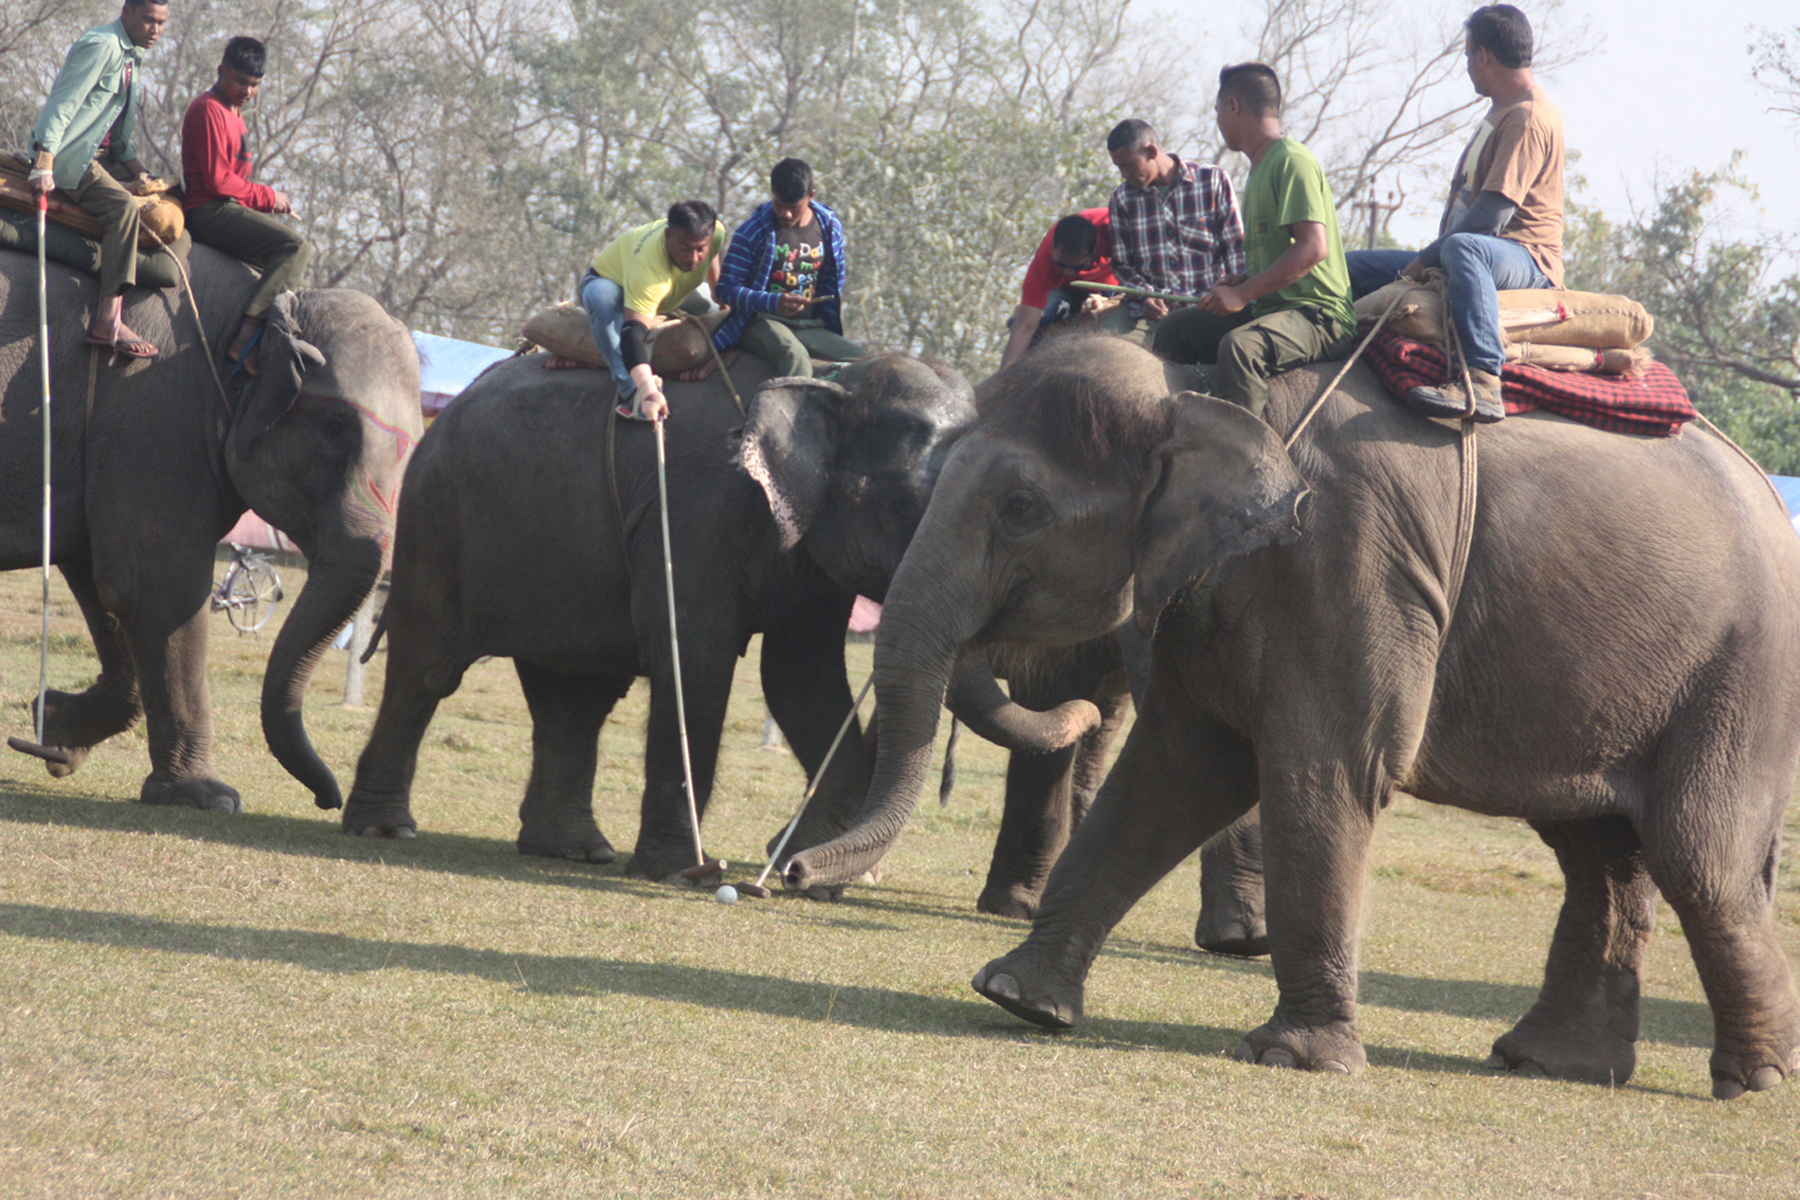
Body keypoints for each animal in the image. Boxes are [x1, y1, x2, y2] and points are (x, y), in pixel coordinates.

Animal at [0, 244, 423, 805]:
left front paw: (55, 732)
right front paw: (210, 797)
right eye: (335, 426)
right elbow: (157, 586)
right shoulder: (155, 413)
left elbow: (103, 580)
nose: (327, 799)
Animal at [788, 336, 1800, 1101]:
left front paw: (1292, 1057)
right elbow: (1179, 768)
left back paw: (1749, 1082)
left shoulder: (1351, 562)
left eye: (1021, 508)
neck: (1200, 391)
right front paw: (1016, 997)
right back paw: (1549, 1063)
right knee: (1596, 849)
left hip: (1743, 674)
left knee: (1695, 853)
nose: (791, 874)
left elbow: (1326, 770)